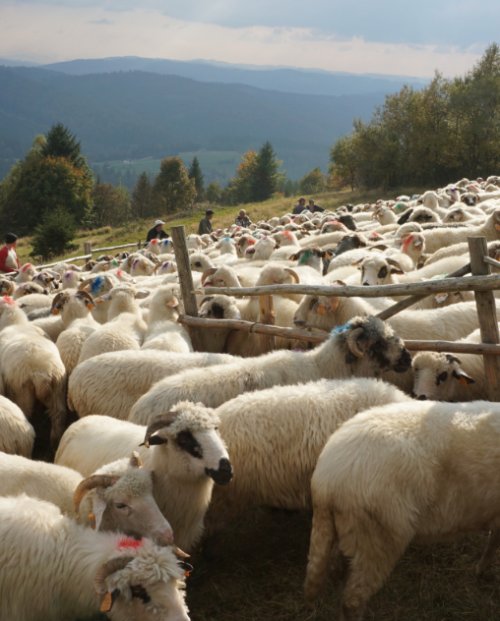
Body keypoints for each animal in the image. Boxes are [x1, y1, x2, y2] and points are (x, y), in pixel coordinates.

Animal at [302, 400, 500, 616]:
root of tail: (325, 479)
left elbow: (493, 542)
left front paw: (481, 568)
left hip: (345, 530)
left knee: (335, 569)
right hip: (377, 538)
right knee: (352, 600)